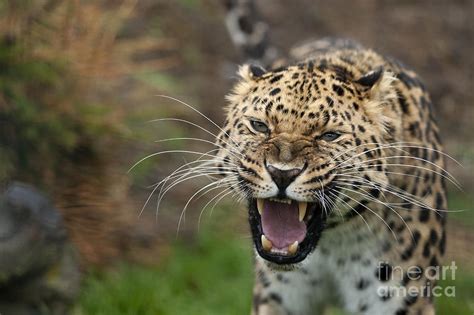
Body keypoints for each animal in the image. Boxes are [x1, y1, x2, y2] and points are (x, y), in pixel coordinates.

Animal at [212, 1, 452, 314]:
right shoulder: (278, 297)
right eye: (259, 126)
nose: (282, 172)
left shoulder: (400, 300)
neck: (333, 243)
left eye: (330, 136)